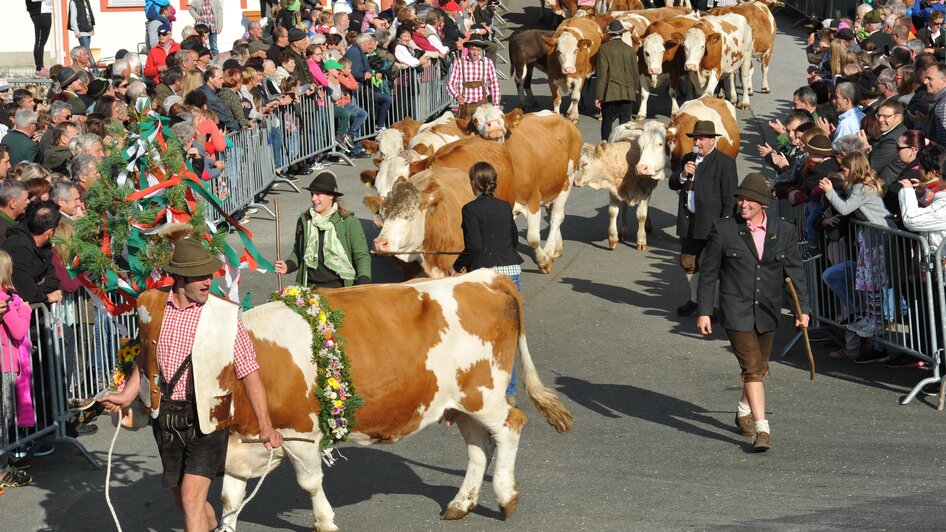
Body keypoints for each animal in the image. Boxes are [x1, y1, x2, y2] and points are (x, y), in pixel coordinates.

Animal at [195, 270, 572, 532]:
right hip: (460, 403)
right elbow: (230, 498)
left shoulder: (300, 434)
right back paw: (461, 503)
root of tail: (484, 277)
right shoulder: (237, 445)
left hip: (484, 393)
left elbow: (310, 484)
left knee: (510, 427)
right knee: (479, 446)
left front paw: (325, 521)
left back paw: (506, 497)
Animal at [568, 121, 664, 250]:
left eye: (584, 164)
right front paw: (613, 239)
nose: (574, 182)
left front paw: (641, 241)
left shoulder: (646, 191)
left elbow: (641, 215)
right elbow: (613, 212)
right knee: (624, 209)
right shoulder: (613, 190)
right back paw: (623, 230)